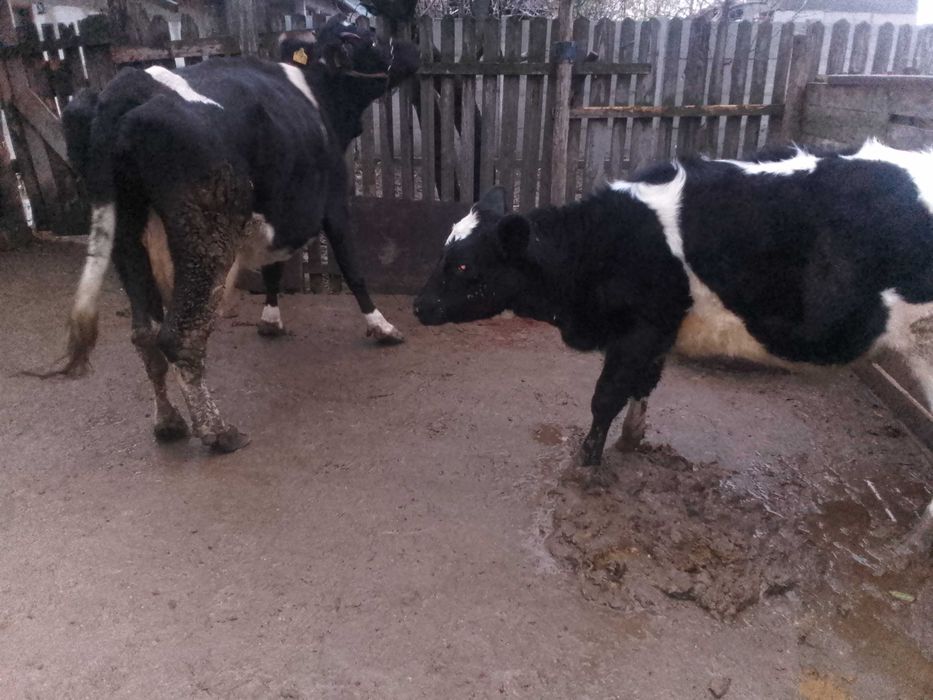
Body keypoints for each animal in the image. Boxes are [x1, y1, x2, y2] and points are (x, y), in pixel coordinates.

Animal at [46, 17, 419, 452]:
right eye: (369, 36)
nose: (412, 48)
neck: (317, 91)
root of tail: (127, 85)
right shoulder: (333, 202)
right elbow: (351, 267)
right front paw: (382, 327)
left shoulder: (281, 212)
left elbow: (274, 269)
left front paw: (270, 319)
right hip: (204, 234)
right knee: (180, 335)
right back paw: (217, 431)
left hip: (125, 234)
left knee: (145, 334)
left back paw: (168, 422)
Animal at [413, 140, 933, 554]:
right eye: (443, 251)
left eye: (463, 266)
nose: (418, 305)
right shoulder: (657, 332)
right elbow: (644, 385)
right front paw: (632, 442)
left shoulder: (639, 328)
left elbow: (605, 398)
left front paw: (586, 467)